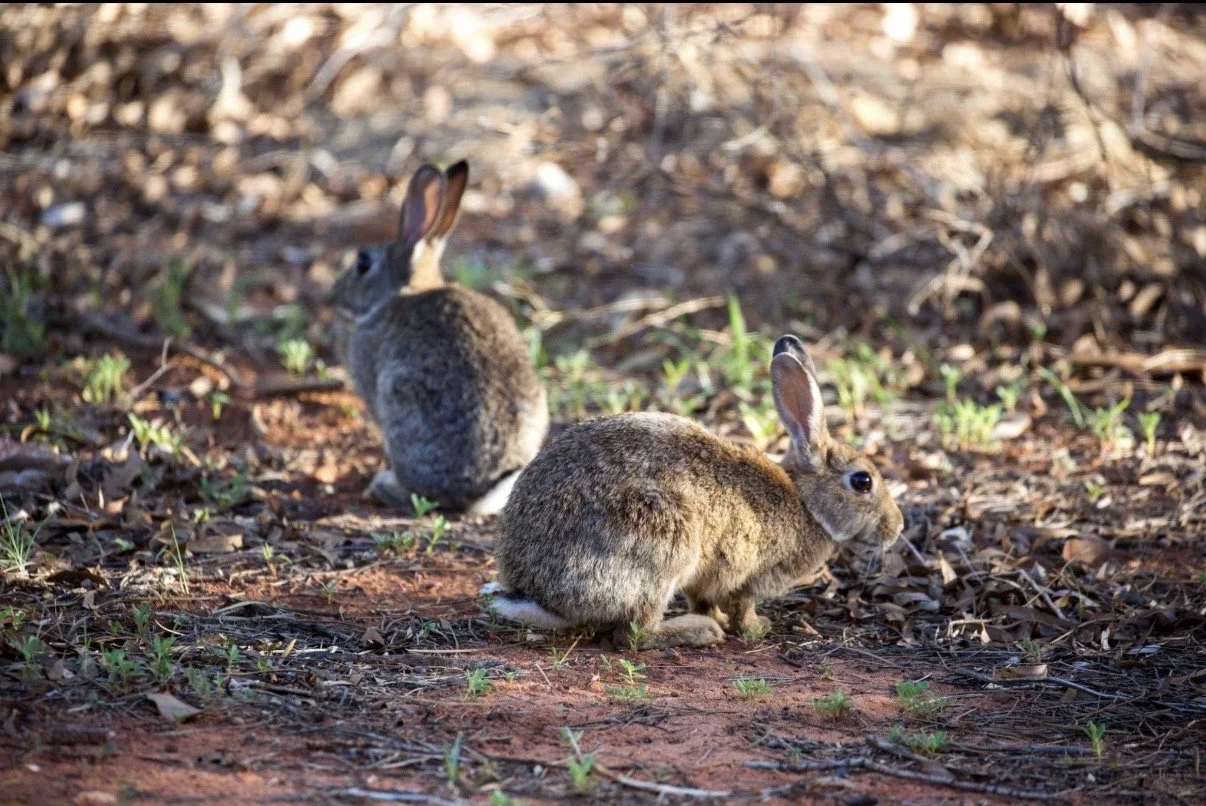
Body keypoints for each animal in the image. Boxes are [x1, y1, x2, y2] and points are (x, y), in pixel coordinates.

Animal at [330, 160, 549, 515]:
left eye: (362, 263)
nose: (335, 295)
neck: (403, 291)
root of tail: (484, 489)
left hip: (399, 398)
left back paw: (382, 486)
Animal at [483, 334, 903, 649]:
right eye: (862, 481)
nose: (897, 527)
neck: (806, 503)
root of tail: (537, 593)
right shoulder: (748, 576)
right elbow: (741, 607)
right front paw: (755, 628)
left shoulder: (708, 578)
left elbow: (704, 597)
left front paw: (715, 615)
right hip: (662, 540)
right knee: (634, 635)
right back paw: (699, 632)